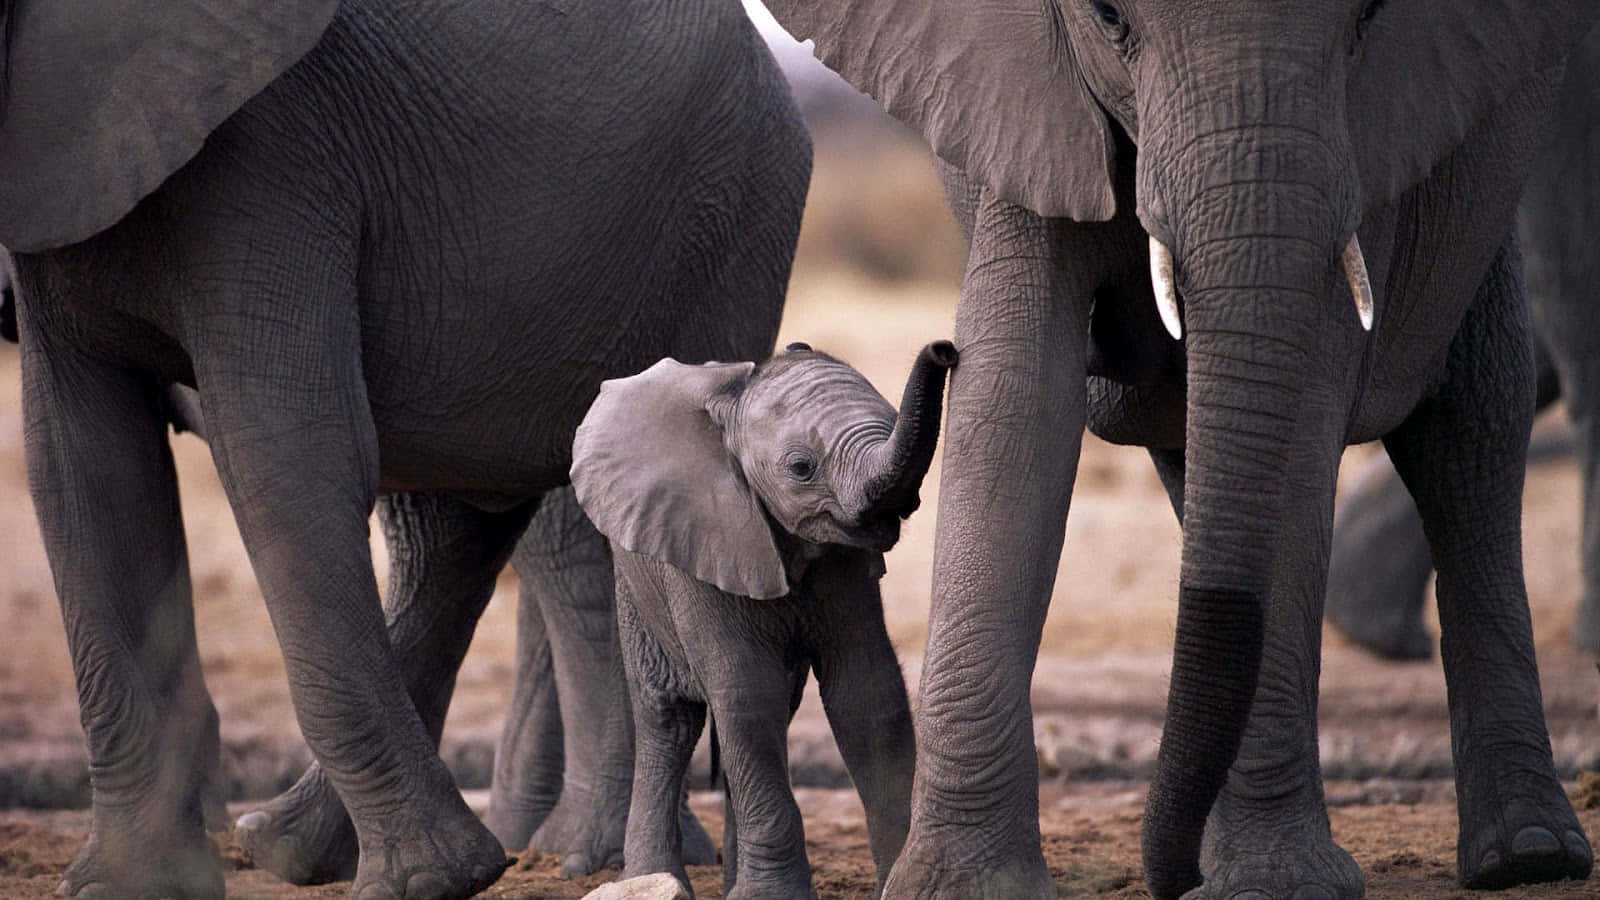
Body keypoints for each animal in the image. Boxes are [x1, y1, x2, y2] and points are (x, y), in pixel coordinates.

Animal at [6, 0, 812, 890]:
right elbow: (85, 474)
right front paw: (128, 885)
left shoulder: (273, 160)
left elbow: (288, 454)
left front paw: (432, 882)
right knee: (459, 528)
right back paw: (287, 845)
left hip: (727, 226)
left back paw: (584, 858)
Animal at [569, 339, 953, 890]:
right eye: (801, 468)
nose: (945, 350)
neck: (734, 405)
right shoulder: (705, 540)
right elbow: (747, 693)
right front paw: (771, 894)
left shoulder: (845, 564)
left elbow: (867, 693)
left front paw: (897, 882)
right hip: (635, 580)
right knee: (670, 720)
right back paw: (653, 879)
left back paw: (731, 882)